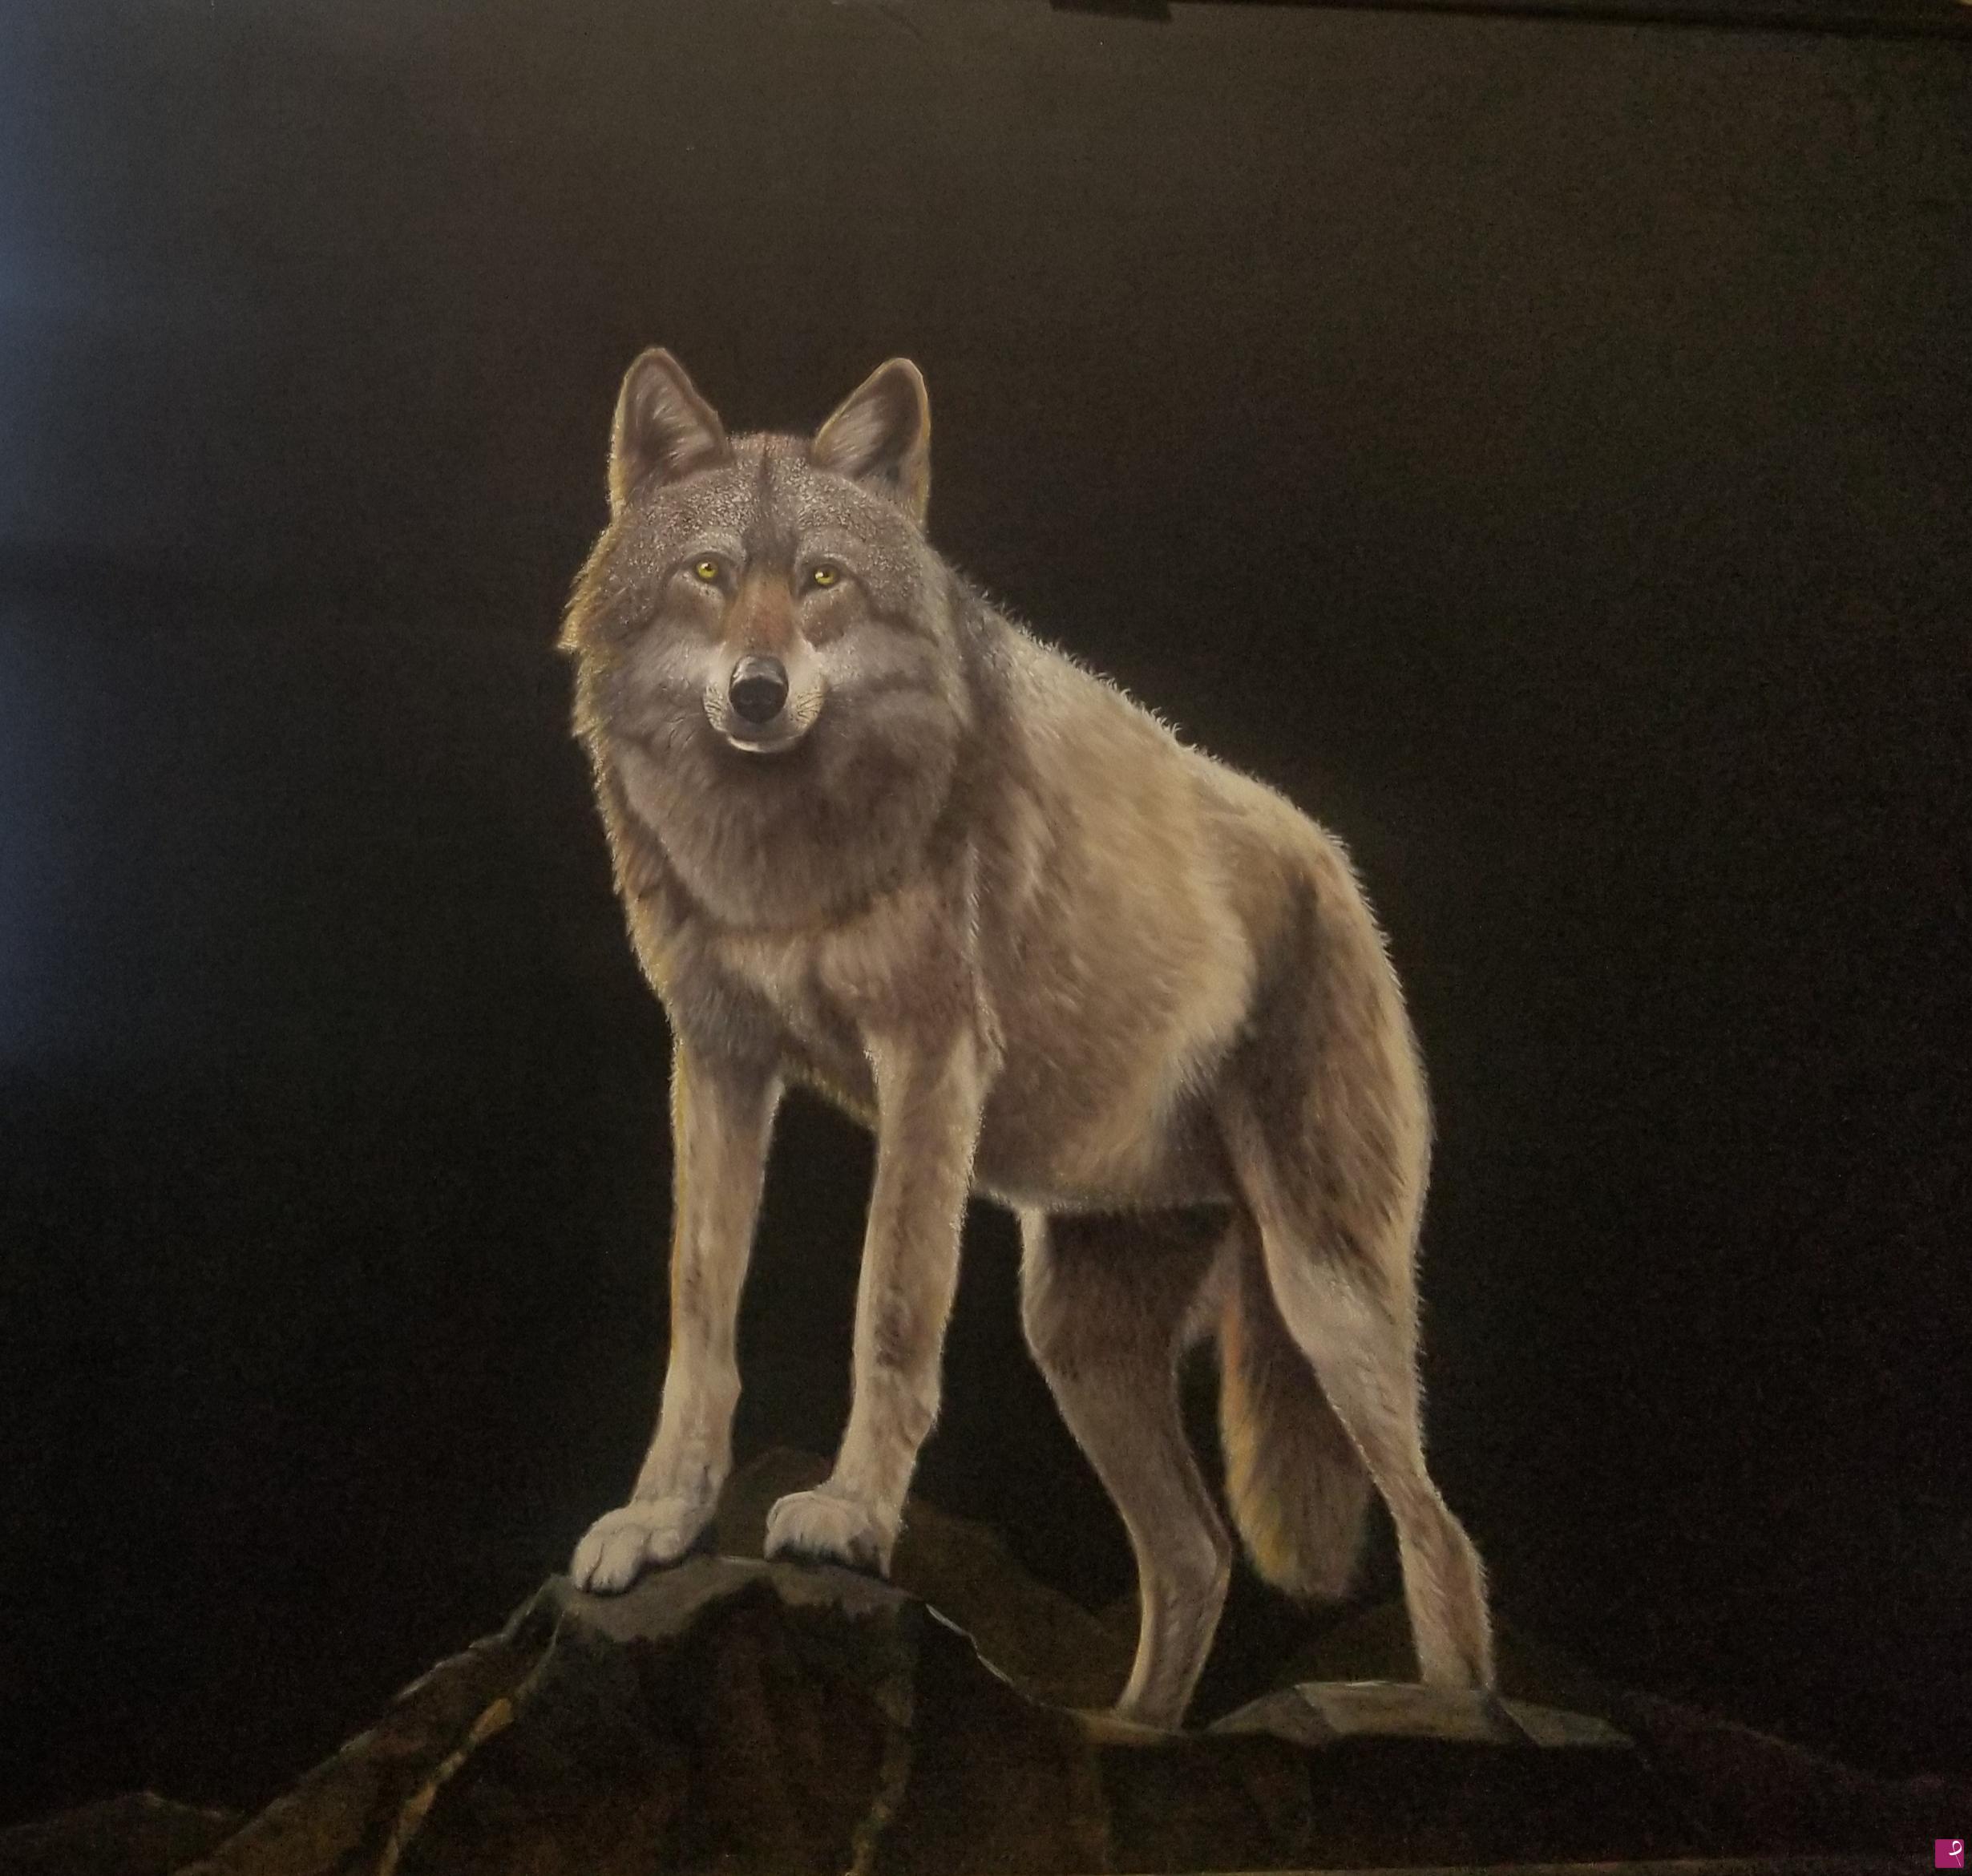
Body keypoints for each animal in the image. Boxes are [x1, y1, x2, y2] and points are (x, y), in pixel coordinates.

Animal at [557, 350, 1494, 1728]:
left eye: (823, 581)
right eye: (711, 574)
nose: (757, 692)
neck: (780, 852)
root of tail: (1340, 873)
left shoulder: (927, 1061)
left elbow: (891, 1312)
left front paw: (850, 1517)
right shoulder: (719, 1060)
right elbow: (700, 1316)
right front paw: (663, 1520)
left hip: (1330, 1304)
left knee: (1441, 1532)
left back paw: (1457, 1716)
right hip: (1076, 1337)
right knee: (1197, 1553)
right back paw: (1131, 1735)